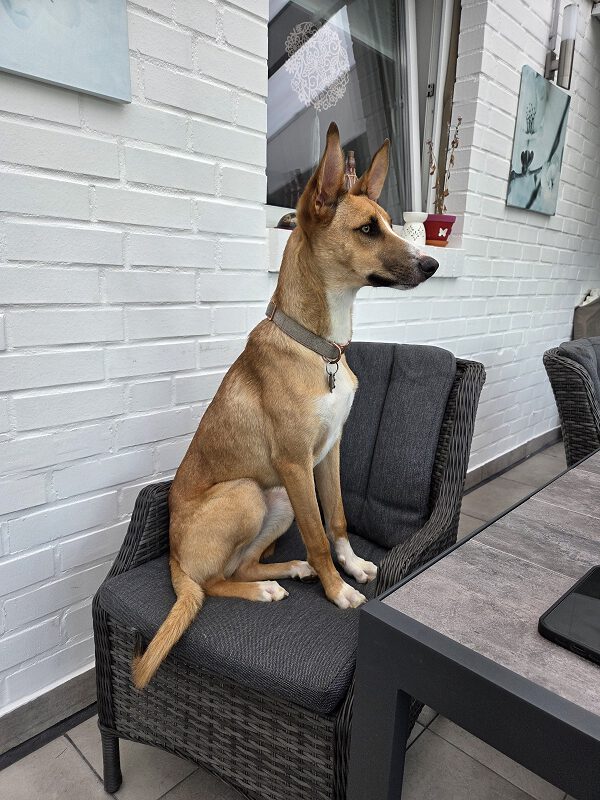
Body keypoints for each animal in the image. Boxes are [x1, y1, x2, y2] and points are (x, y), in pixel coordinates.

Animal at [132, 123, 439, 689]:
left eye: (390, 223)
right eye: (368, 229)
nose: (432, 264)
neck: (319, 347)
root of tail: (174, 561)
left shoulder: (330, 453)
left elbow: (336, 520)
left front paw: (352, 567)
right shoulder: (296, 463)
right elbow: (317, 535)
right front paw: (337, 589)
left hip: (275, 502)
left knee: (238, 566)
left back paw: (285, 572)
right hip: (249, 492)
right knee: (213, 583)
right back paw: (265, 587)